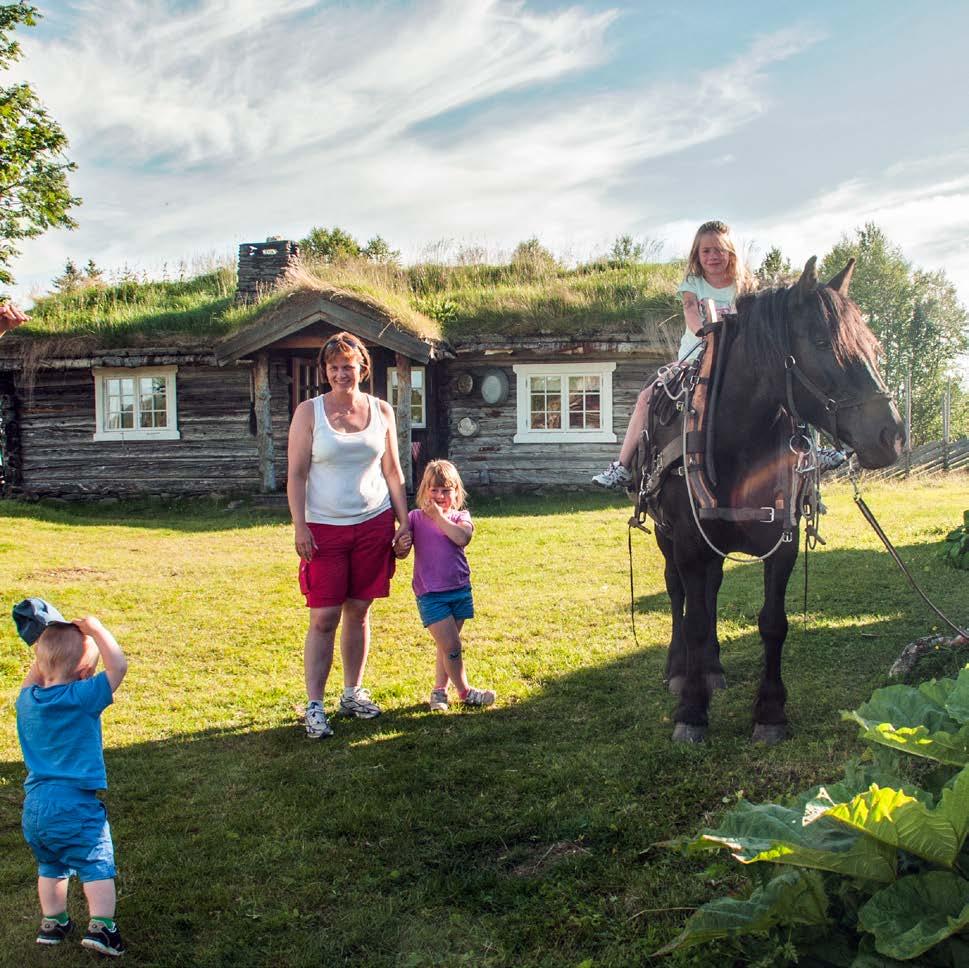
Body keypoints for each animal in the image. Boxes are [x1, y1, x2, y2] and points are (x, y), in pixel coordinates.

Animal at [632, 255, 904, 740]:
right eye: (822, 341)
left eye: (873, 345)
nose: (890, 435)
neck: (735, 442)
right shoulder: (689, 542)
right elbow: (694, 619)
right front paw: (691, 709)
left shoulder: (783, 542)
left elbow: (772, 623)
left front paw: (770, 711)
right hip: (667, 537)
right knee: (678, 593)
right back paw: (681, 669)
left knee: (710, 591)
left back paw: (713, 669)